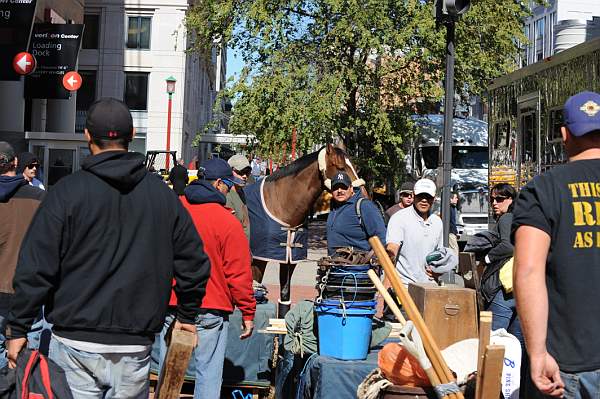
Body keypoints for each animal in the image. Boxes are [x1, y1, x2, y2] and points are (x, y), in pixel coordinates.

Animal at [241, 145, 364, 318]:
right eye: (340, 167)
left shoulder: (289, 259)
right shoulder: (259, 260)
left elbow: (285, 296)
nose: (361, 194)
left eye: (355, 166)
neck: (279, 204)